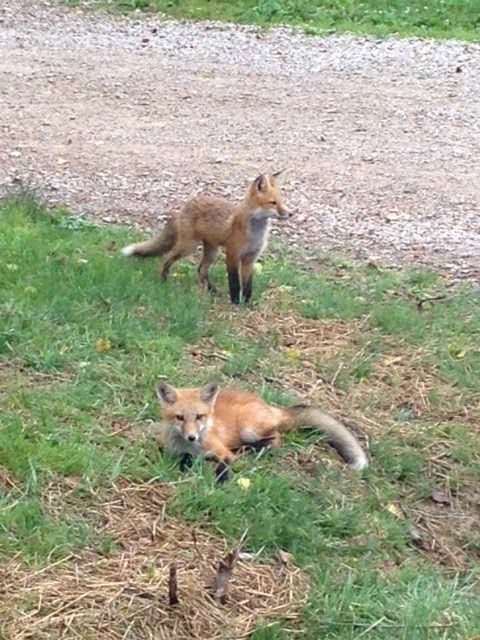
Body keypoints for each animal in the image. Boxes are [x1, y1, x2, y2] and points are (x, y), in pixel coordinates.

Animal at [120, 172, 290, 304]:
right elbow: (234, 282)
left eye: (282, 202)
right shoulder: (233, 255)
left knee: (201, 270)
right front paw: (236, 302)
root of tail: (184, 207)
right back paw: (163, 281)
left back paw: (213, 291)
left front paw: (247, 303)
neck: (255, 233)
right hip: (188, 247)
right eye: (273, 203)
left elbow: (248, 285)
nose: (290, 214)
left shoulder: (250, 258)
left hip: (212, 251)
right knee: (165, 260)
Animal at [155, 381, 368, 482]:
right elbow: (184, 460)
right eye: (180, 418)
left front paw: (221, 481)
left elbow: (224, 465)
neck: (191, 447)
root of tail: (270, 406)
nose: (192, 436)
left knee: (277, 438)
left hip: (248, 429)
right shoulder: (171, 452)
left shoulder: (223, 452)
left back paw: (259, 448)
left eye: (199, 416)